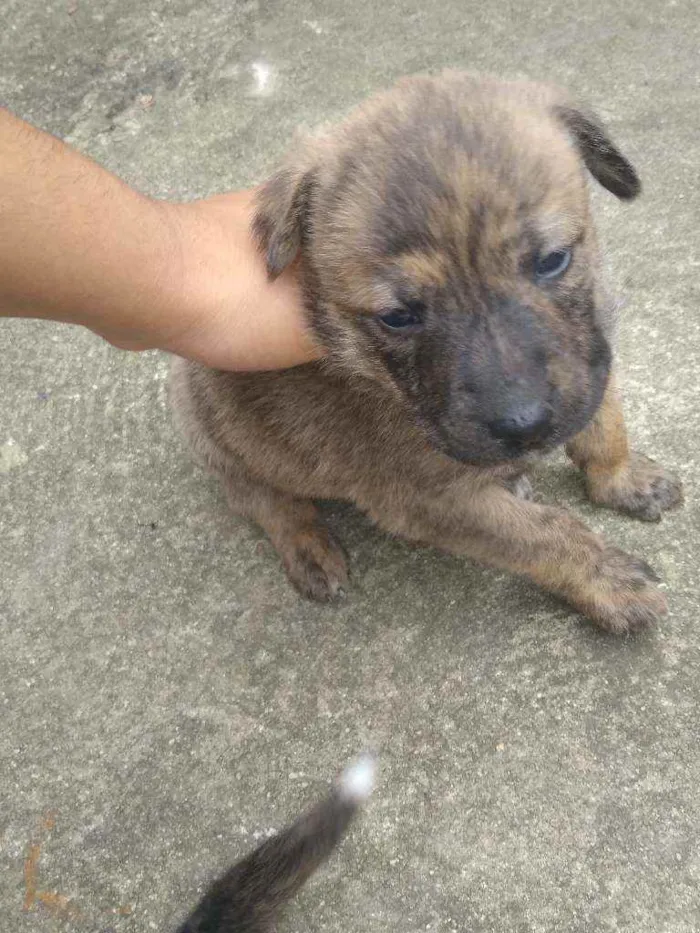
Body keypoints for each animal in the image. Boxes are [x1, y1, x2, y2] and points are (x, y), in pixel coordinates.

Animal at [172, 69, 680, 628]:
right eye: (397, 317)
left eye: (552, 260)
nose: (525, 425)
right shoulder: (427, 498)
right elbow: (544, 535)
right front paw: (607, 581)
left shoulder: (591, 354)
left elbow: (605, 428)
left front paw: (623, 479)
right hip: (216, 438)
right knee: (263, 499)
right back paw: (307, 545)